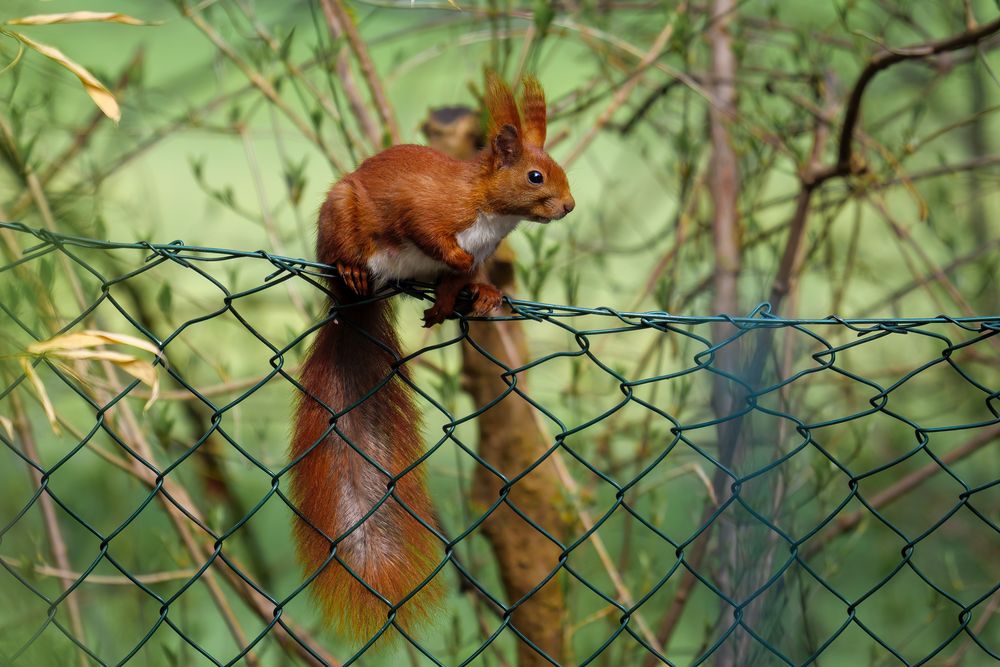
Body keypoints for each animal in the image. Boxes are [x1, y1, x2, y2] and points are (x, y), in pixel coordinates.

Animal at [290, 73, 575, 641]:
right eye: (536, 176)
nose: (569, 206)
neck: (489, 214)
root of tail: (355, 302)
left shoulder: (471, 260)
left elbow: (455, 278)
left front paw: (453, 298)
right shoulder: (425, 209)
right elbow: (428, 233)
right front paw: (456, 254)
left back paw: (480, 295)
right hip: (340, 216)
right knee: (343, 255)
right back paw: (349, 269)